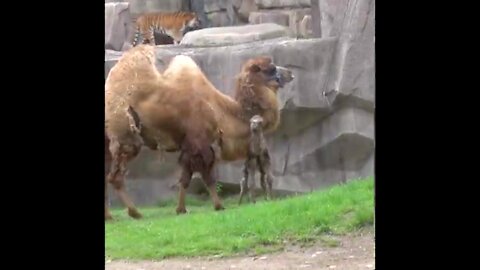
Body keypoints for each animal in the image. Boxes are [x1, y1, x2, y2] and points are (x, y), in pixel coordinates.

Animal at [104, 44, 292, 220]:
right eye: (271, 68)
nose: (290, 72)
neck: (220, 110)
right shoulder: (199, 142)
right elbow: (207, 177)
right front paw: (218, 205)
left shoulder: (190, 145)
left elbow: (185, 178)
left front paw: (181, 209)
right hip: (126, 135)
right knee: (116, 176)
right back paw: (135, 212)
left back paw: (110, 216)